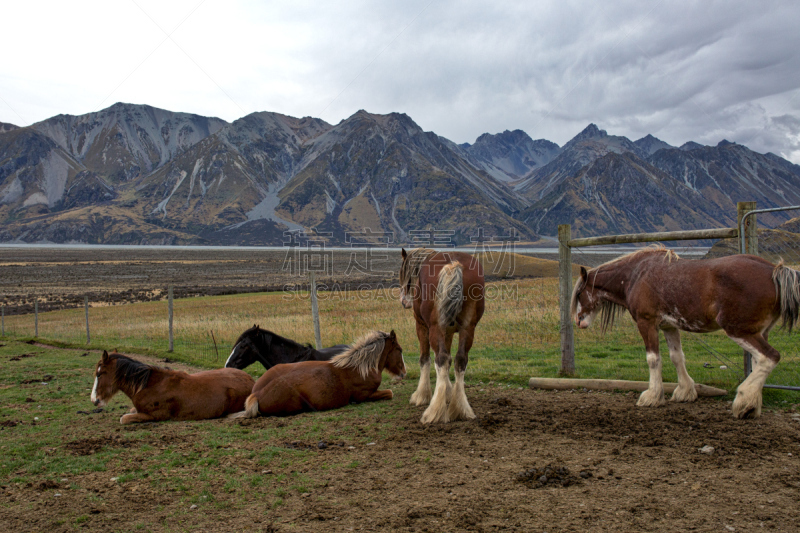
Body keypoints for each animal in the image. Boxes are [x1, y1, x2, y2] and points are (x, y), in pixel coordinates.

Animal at [91, 350, 255, 424]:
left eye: (99, 374)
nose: (94, 400)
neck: (150, 385)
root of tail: (252, 381)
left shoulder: (155, 416)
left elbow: (124, 418)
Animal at [230, 330, 406, 418]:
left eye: (243, 346)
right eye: (399, 349)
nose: (404, 372)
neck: (360, 367)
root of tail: (256, 394)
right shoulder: (364, 395)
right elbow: (390, 393)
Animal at [398, 246, 484, 424]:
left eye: (404, 274)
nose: (404, 301)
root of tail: (453, 264)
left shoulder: (422, 326)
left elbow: (425, 359)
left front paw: (422, 395)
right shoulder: (448, 331)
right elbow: (450, 360)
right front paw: (448, 392)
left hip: (435, 327)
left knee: (441, 359)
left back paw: (434, 411)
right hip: (468, 328)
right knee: (460, 360)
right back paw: (461, 409)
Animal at [568, 247, 800, 418]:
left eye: (579, 293)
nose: (578, 321)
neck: (636, 275)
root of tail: (774, 270)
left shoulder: (647, 322)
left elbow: (653, 359)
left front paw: (652, 396)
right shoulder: (669, 326)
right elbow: (677, 357)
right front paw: (685, 391)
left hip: (739, 330)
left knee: (770, 357)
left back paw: (743, 400)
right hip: (760, 332)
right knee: (759, 361)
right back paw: (752, 405)